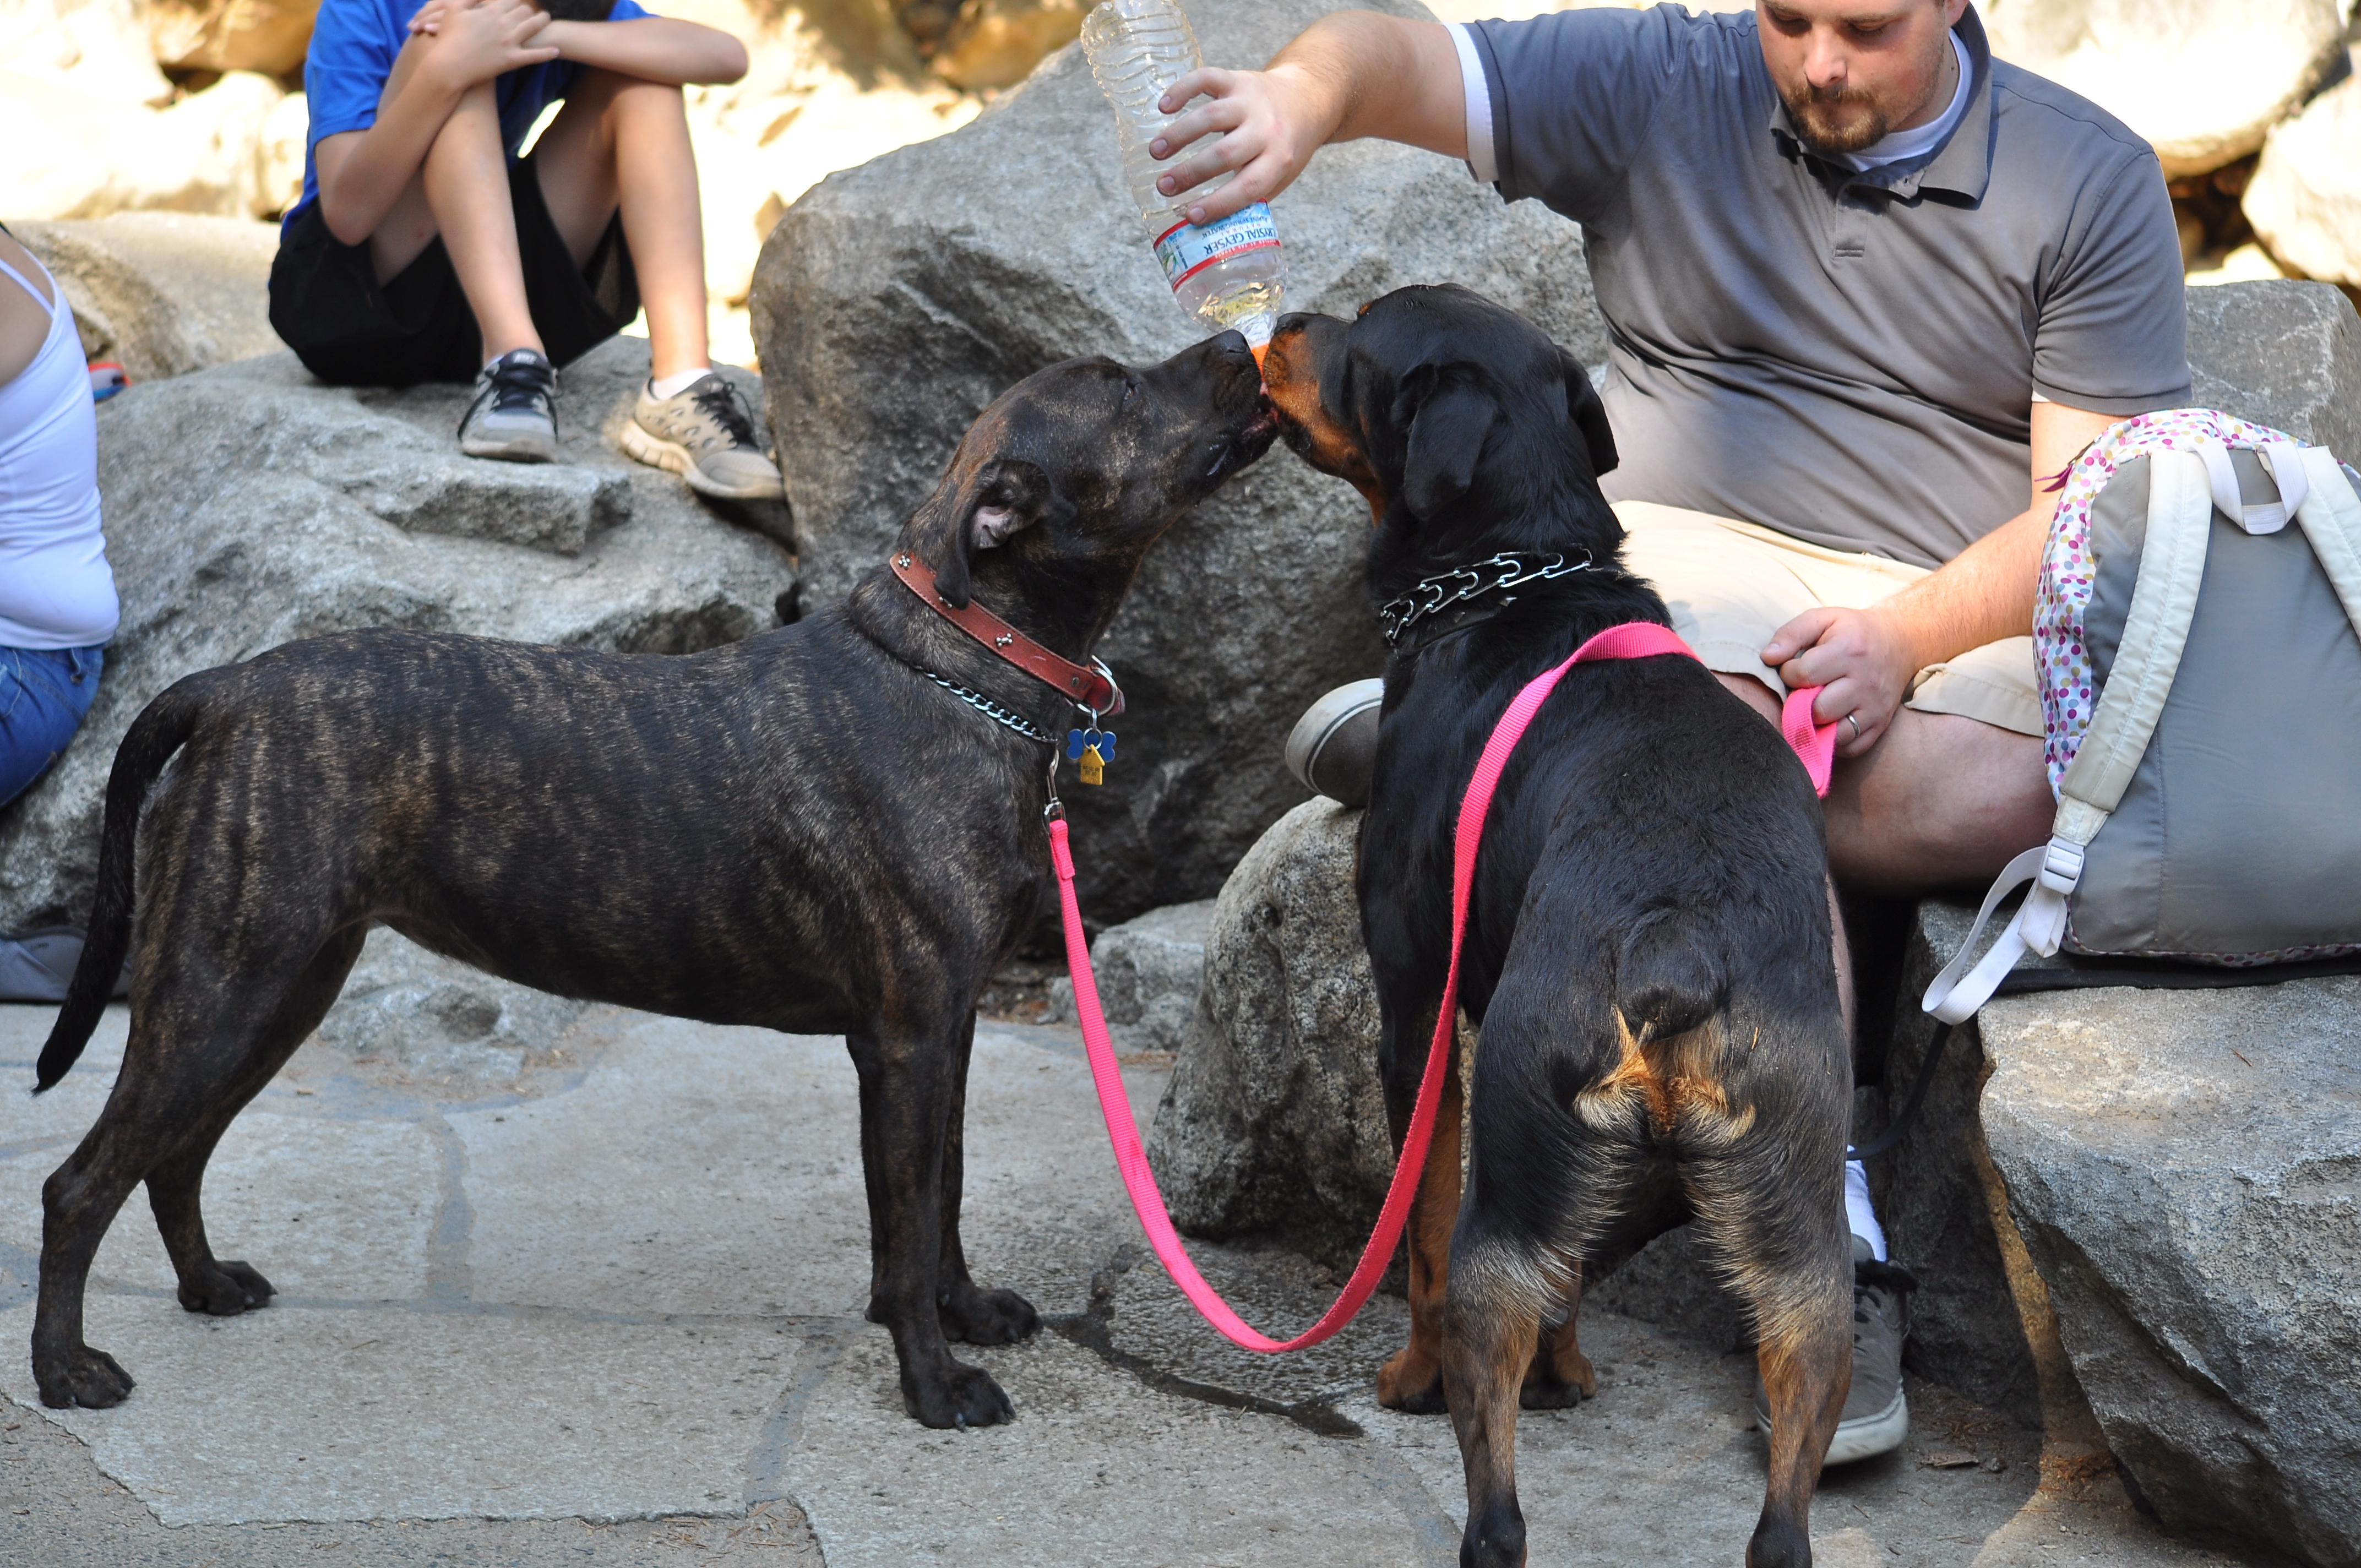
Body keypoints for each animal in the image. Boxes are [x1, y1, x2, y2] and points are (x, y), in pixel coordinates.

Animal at [28, 333, 1275, 1435]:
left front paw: (963, 1312)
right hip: (221, 986)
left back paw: (204, 1287)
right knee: (80, 1182)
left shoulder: (948, 1031)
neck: (960, 671)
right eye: (1119, 386)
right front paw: (934, 1382)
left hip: (275, 988)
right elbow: (910, 1224)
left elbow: (945, 1197)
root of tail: (228, 684)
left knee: (173, 1156)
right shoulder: (908, 1040)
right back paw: (65, 1368)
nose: (1242, 344)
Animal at [1265, 284, 1851, 1567]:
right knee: (1781, 1508)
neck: (1518, 576)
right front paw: (1569, 1371)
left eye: (1357, 339)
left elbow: (1420, 1234)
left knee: (1495, 1489)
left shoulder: (1415, 1013)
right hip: (1799, 1239)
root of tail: (1677, 941)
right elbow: (1571, 1275)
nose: (1280, 321)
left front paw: (1410, 1376)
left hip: (1516, 1159)